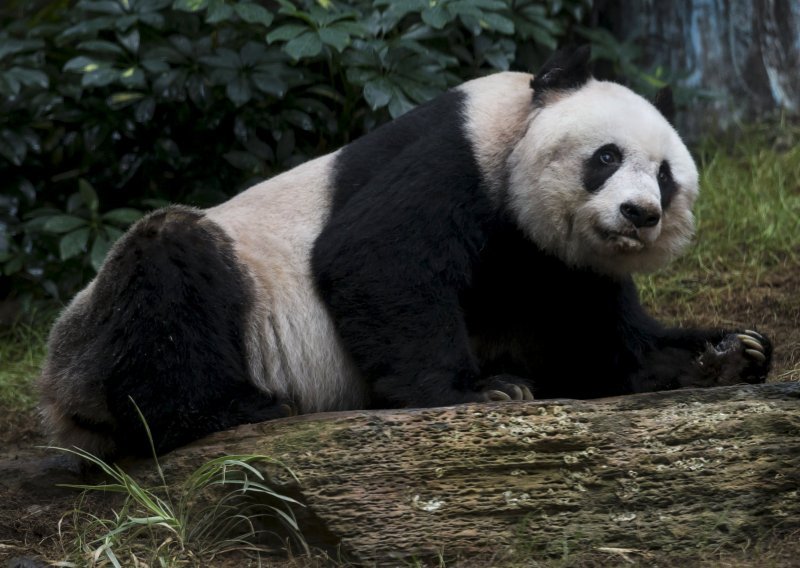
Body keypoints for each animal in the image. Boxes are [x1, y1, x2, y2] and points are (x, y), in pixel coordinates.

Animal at [36, 46, 768, 460]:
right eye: (607, 157)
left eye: (667, 178)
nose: (640, 214)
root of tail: (60, 402)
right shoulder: (456, 154)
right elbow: (374, 258)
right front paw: (482, 391)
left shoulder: (554, 264)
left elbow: (604, 339)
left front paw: (727, 354)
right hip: (103, 330)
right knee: (169, 272)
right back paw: (234, 408)